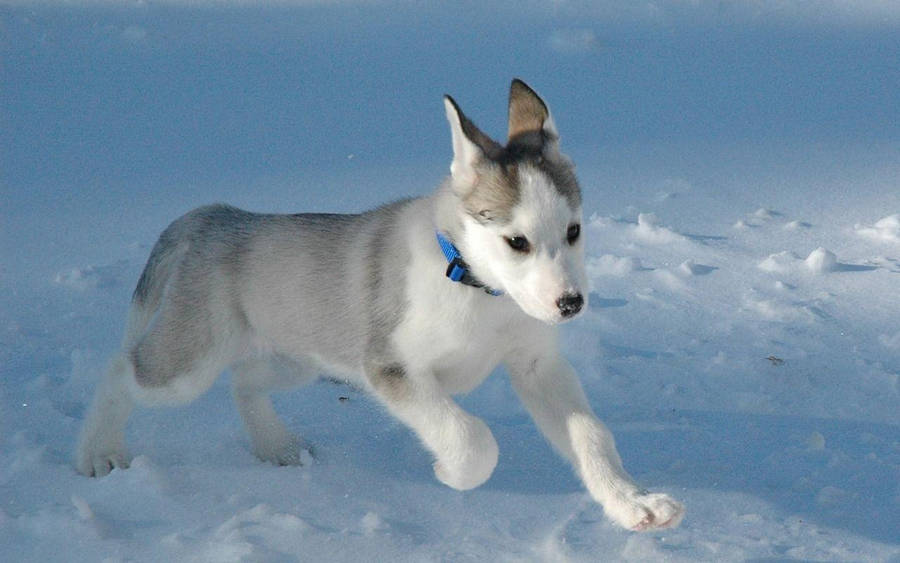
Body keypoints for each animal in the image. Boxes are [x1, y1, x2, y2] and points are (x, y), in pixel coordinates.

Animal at [75, 80, 684, 532]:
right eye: (517, 242)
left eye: (574, 231)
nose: (570, 304)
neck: (476, 288)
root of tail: (216, 216)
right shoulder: (390, 367)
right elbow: (470, 438)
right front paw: (450, 473)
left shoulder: (537, 366)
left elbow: (592, 436)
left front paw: (634, 504)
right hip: (189, 363)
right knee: (120, 370)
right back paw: (98, 454)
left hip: (298, 355)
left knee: (243, 380)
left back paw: (277, 447)